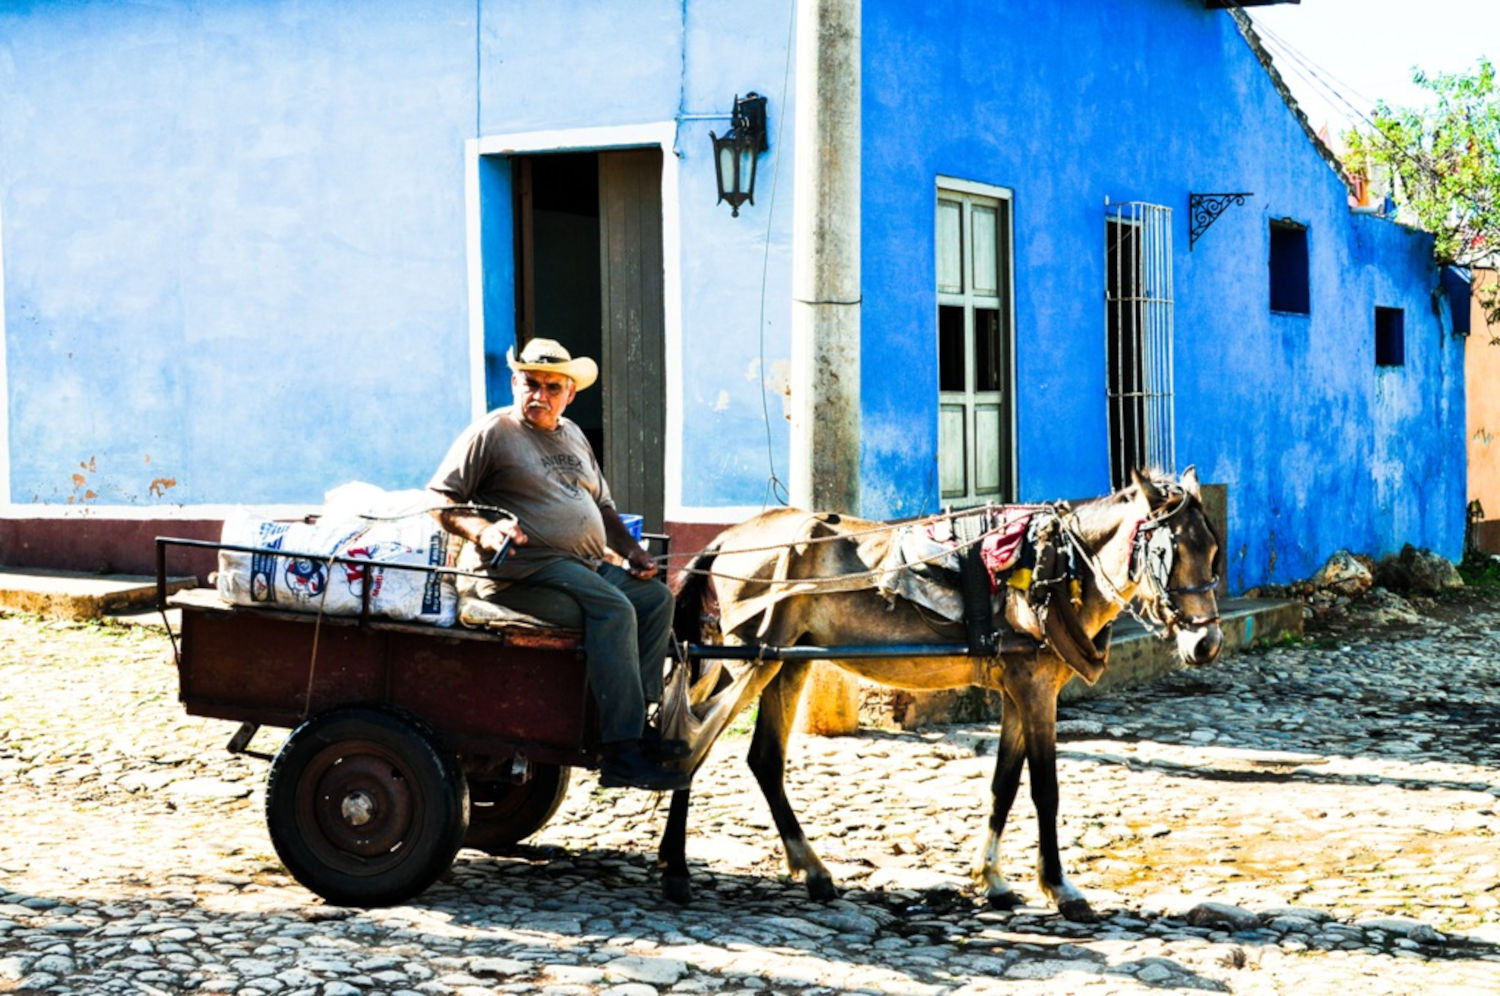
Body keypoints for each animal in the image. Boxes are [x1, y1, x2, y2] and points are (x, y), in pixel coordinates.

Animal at [663, 471, 1224, 924]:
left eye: (1213, 553)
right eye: (1168, 551)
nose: (1207, 644)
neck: (1054, 566)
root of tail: (728, 537)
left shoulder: (1018, 691)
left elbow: (1003, 785)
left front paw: (992, 880)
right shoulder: (1036, 691)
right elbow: (1045, 790)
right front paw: (1060, 888)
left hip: (784, 662)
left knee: (761, 758)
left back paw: (812, 871)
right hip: (744, 659)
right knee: (690, 745)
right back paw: (675, 868)